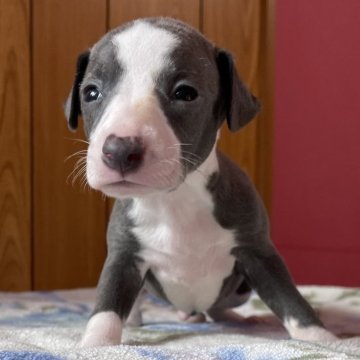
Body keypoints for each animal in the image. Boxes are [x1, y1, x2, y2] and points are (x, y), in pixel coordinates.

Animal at [64, 16, 334, 346]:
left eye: (185, 93)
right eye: (91, 93)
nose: (119, 150)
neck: (173, 199)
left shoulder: (257, 251)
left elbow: (288, 297)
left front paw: (321, 338)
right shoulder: (124, 255)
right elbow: (107, 303)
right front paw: (96, 343)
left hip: (240, 289)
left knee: (218, 308)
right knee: (139, 300)